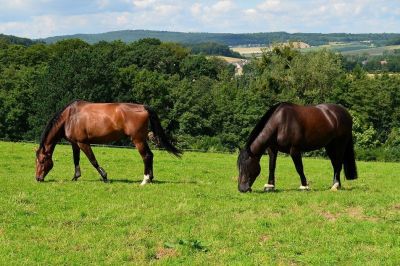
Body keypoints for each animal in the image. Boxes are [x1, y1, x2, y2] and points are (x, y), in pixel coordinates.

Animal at [35, 101, 182, 184]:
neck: (70, 117)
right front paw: (75, 177)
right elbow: (76, 160)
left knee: (146, 156)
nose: (38, 178)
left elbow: (93, 160)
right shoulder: (75, 143)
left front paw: (105, 177)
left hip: (138, 140)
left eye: (42, 161)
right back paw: (150, 178)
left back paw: (145, 180)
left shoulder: (83, 143)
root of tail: (143, 107)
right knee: (150, 155)